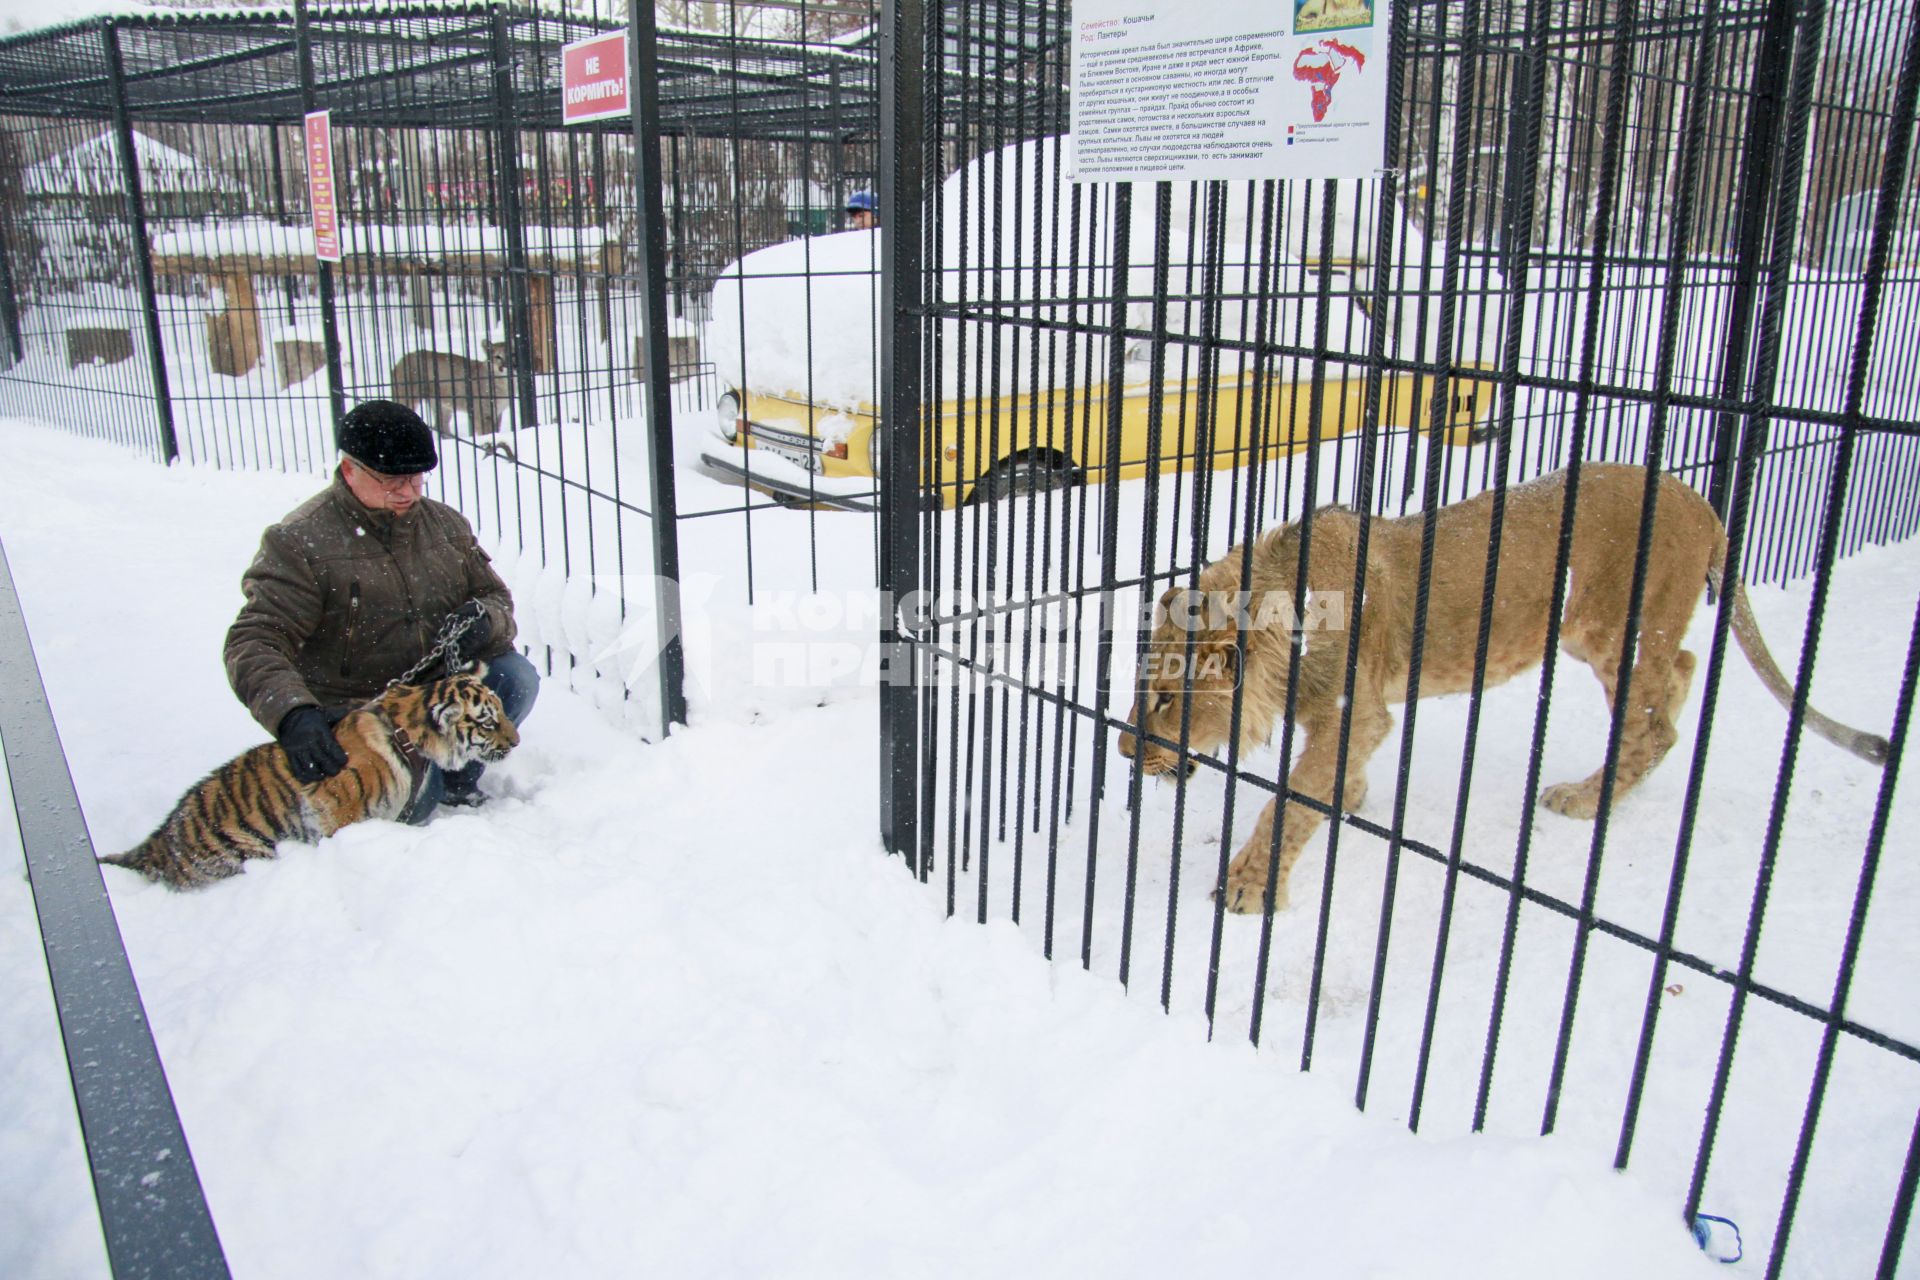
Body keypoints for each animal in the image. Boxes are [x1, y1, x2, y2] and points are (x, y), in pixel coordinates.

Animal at [1121, 466, 1896, 917]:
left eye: (1164, 700)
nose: (1128, 752)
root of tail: (1703, 503)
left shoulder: (1354, 711)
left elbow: (1291, 801)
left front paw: (1251, 885)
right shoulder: (1358, 718)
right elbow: (1326, 783)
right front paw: (1350, 796)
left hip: (1612, 628)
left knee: (1660, 714)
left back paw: (1587, 797)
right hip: (1596, 634)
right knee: (1681, 667)